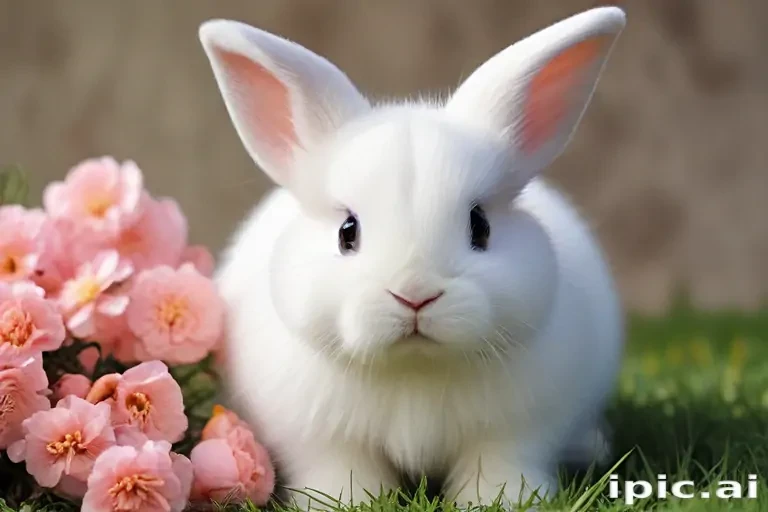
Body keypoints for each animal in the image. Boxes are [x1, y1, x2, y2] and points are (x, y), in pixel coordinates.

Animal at [200, 6, 626, 509]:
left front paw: (498, 501)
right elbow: (342, 470)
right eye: (347, 232)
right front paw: (351, 501)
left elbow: (499, 466)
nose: (415, 294)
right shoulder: (324, 439)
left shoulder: (515, 432)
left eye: (480, 226)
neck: (414, 369)